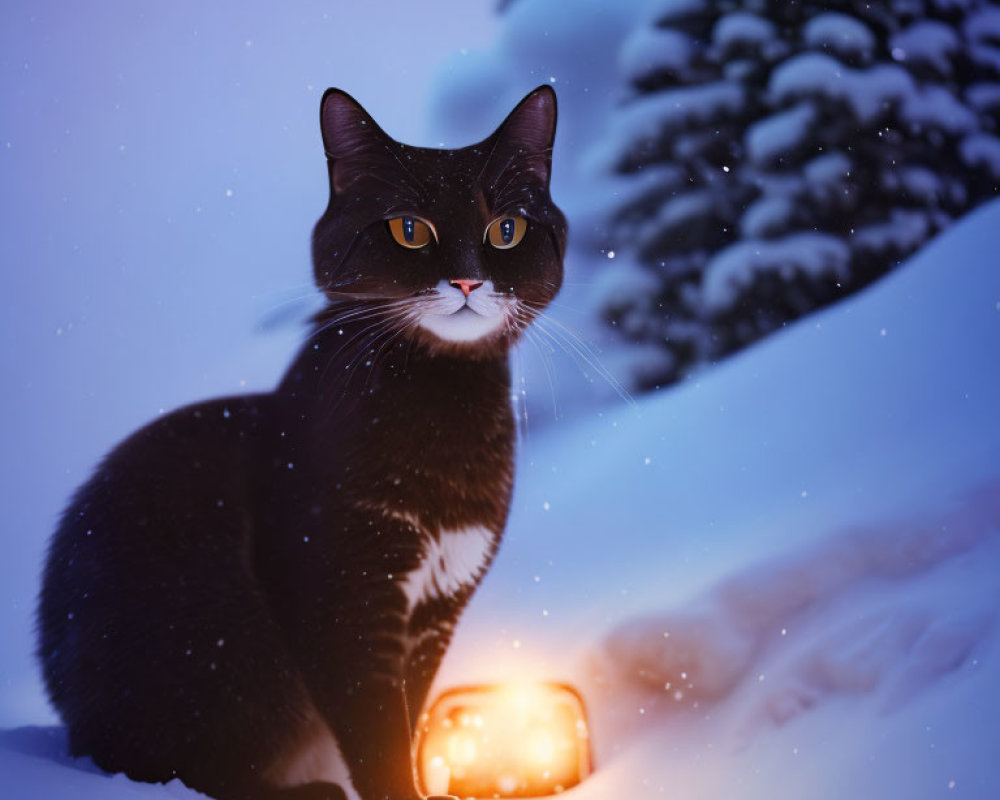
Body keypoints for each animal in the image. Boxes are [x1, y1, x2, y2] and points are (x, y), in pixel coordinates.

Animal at [35, 87, 568, 800]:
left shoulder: (437, 608)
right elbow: (376, 731)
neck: (443, 406)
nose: (466, 281)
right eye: (409, 229)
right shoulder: (340, 594)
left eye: (506, 229)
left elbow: (405, 714)